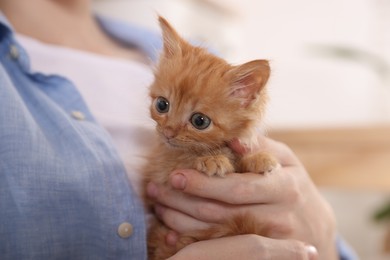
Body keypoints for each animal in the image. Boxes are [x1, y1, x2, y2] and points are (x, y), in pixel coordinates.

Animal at [143, 16, 278, 260]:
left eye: (200, 121)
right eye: (162, 105)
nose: (168, 132)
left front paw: (258, 158)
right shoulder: (156, 174)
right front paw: (213, 159)